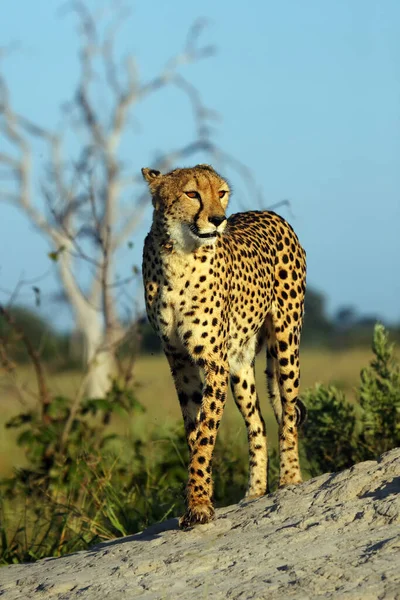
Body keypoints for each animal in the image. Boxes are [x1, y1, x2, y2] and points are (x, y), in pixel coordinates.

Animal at [142, 162, 308, 528]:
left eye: (221, 193)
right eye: (191, 193)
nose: (219, 219)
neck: (178, 255)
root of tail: (270, 214)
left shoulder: (212, 362)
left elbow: (205, 433)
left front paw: (199, 505)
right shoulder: (180, 361)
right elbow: (194, 432)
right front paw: (200, 497)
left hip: (286, 341)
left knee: (288, 412)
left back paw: (290, 479)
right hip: (240, 366)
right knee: (258, 424)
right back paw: (255, 491)